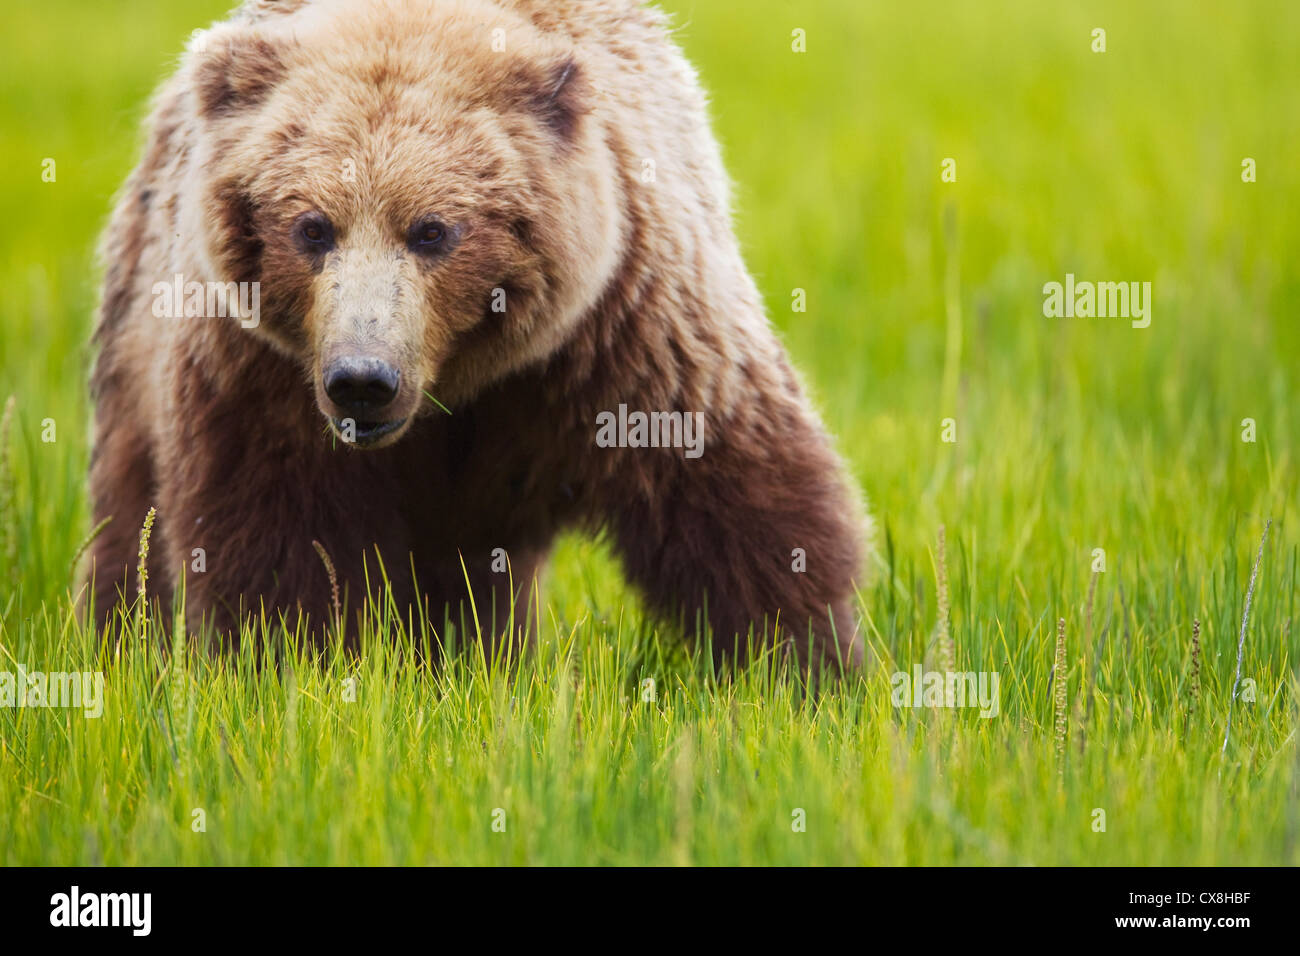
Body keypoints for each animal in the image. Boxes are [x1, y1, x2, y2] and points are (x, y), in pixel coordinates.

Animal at [87, 0, 870, 670]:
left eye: (433, 230)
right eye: (311, 227)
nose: (364, 381)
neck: (458, 382)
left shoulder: (627, 331)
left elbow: (735, 493)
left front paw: (811, 669)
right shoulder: (259, 371)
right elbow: (273, 537)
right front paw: (284, 669)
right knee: (127, 525)